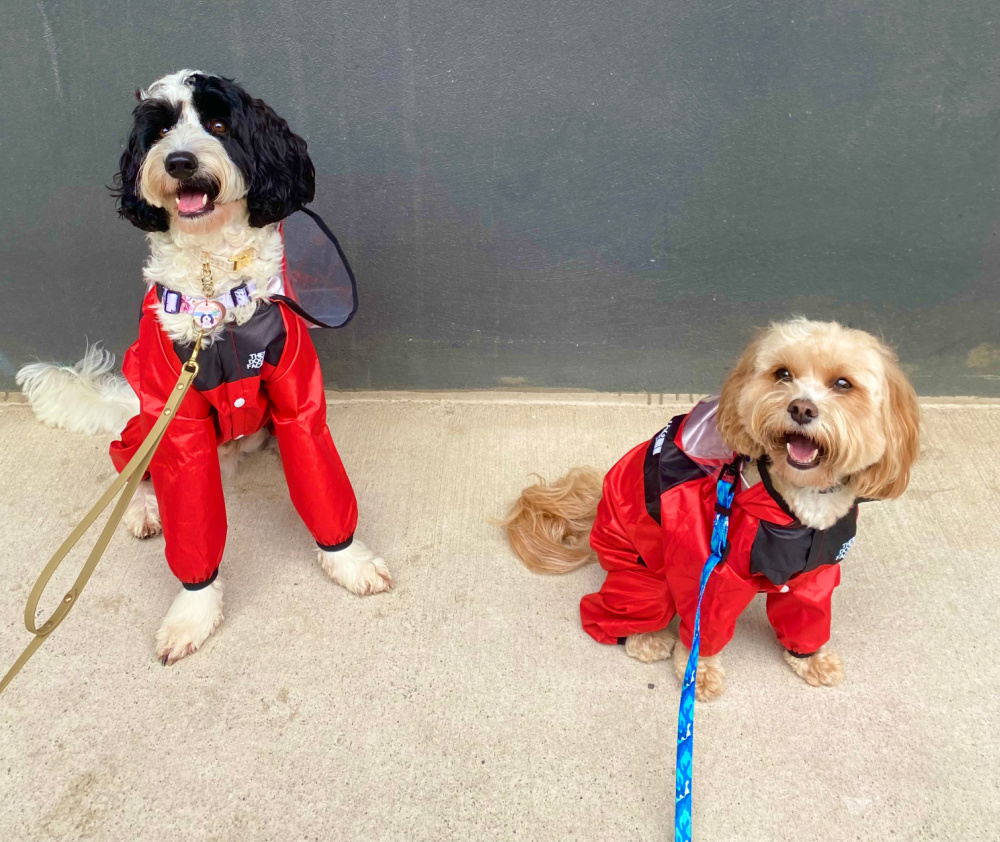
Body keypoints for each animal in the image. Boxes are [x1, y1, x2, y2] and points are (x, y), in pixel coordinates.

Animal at [16, 72, 390, 664]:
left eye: (218, 123)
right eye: (160, 130)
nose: (179, 161)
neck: (215, 281)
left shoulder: (297, 397)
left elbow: (321, 478)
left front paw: (348, 560)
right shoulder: (181, 422)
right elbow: (191, 520)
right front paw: (193, 610)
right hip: (148, 417)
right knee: (126, 458)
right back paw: (144, 510)